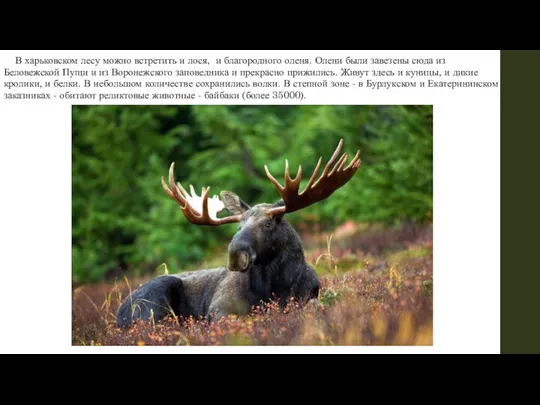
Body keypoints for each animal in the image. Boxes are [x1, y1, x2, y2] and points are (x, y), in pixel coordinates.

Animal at [118, 137, 362, 326]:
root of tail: (118, 314)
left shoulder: (310, 297)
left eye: (268, 224)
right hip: (155, 297)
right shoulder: (219, 308)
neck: (276, 287)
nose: (236, 254)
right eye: (238, 226)